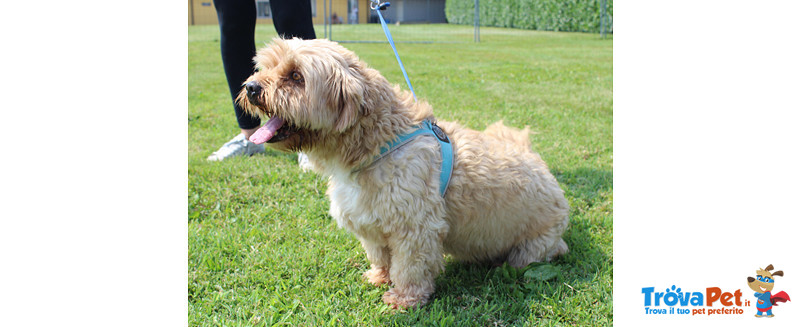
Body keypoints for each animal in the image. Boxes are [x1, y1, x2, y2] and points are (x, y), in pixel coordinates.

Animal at [238, 38, 568, 310]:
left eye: (296, 76)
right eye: (266, 66)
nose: (251, 88)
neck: (377, 142)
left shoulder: (416, 227)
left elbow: (410, 266)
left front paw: (404, 298)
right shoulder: (369, 219)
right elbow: (380, 255)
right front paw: (380, 276)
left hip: (532, 249)